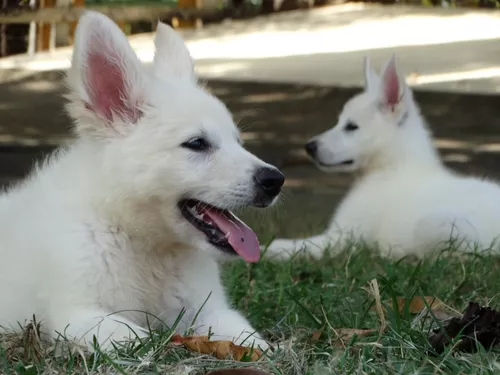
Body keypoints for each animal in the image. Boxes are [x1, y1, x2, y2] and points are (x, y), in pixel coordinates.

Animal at [0, 12, 284, 352]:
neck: (141, 242)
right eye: (197, 143)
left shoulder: (209, 311)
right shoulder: (78, 316)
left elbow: (249, 338)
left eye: (238, 142)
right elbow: (144, 339)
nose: (275, 180)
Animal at [266, 55, 500, 262]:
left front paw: (270, 250)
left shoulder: (341, 239)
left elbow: (294, 245)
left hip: (434, 225)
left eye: (351, 127)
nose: (309, 147)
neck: (390, 168)